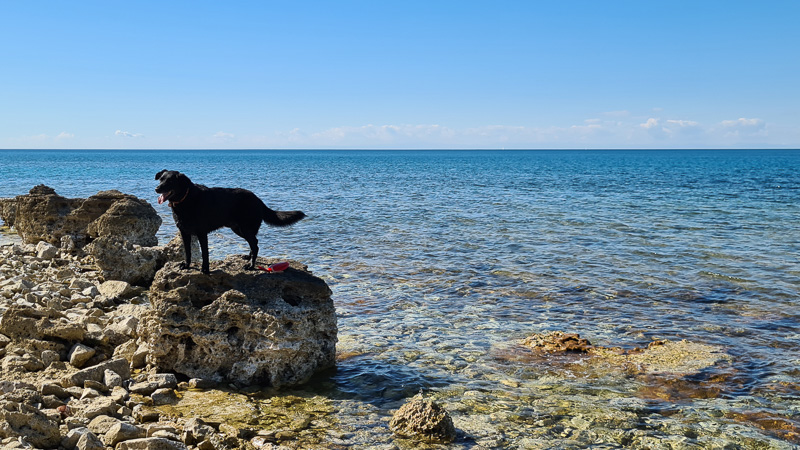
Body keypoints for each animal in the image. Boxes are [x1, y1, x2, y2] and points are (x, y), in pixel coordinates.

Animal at [155, 170, 304, 272]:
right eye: (161, 179)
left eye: (170, 181)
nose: (157, 189)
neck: (185, 199)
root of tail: (258, 200)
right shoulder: (184, 233)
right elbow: (187, 252)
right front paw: (186, 265)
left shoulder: (202, 233)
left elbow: (205, 254)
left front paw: (205, 270)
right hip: (238, 229)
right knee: (254, 243)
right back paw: (248, 258)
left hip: (245, 228)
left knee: (255, 245)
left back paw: (251, 266)